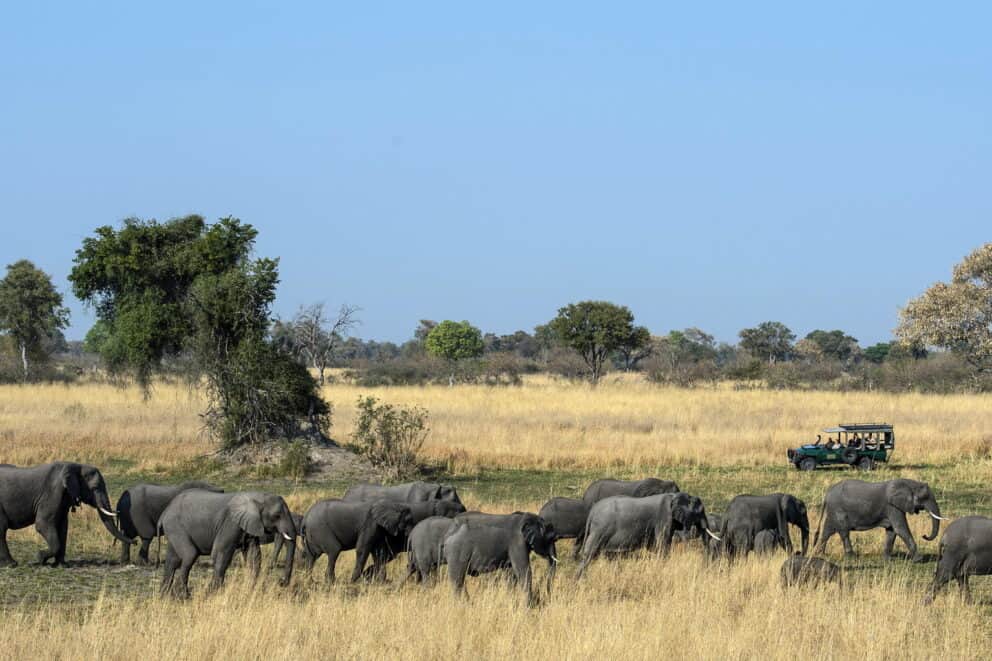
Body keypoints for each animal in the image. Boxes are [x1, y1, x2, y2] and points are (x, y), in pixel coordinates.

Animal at [0, 462, 133, 567]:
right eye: (95, 488)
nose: (135, 541)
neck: (76, 466)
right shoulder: (52, 493)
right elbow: (43, 524)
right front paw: (40, 558)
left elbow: (63, 527)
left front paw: (62, 565)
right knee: (2, 529)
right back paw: (12, 564)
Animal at [158, 490, 297, 598]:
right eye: (277, 515)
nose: (281, 582)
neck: (255, 496)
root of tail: (164, 512)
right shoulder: (230, 523)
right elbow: (221, 553)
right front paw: (213, 592)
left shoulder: (249, 525)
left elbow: (253, 555)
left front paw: (251, 591)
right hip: (176, 526)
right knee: (189, 555)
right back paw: (183, 596)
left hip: (174, 528)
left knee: (172, 560)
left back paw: (165, 595)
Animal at [576, 493, 718, 579]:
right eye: (700, 512)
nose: (706, 567)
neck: (675, 496)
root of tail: (592, 512)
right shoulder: (664, 517)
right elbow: (662, 545)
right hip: (600, 530)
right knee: (589, 555)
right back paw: (580, 580)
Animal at [813, 479, 946, 561]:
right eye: (924, 497)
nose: (924, 535)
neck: (909, 483)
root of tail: (827, 494)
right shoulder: (892, 506)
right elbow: (900, 529)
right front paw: (919, 560)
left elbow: (892, 531)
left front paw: (887, 559)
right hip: (838, 509)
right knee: (844, 532)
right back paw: (851, 557)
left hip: (833, 510)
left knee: (827, 531)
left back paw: (821, 554)